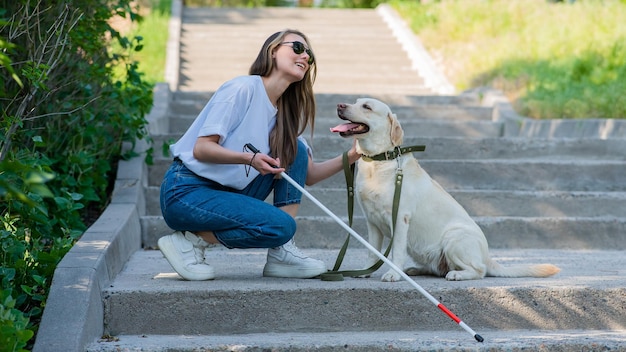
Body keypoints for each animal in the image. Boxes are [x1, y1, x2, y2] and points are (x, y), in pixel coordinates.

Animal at [330, 97, 560, 282]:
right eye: (355, 101)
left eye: (366, 106)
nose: (339, 105)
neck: (378, 162)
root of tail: (487, 256)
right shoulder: (372, 222)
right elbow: (372, 252)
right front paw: (365, 271)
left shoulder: (400, 218)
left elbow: (396, 251)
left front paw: (394, 274)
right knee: (439, 269)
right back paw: (415, 270)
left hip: (454, 238)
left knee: (479, 270)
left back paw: (456, 274)